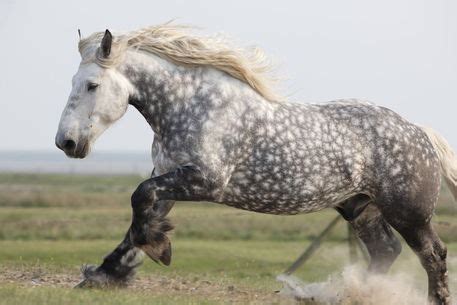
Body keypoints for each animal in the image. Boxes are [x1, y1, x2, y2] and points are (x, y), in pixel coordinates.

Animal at [55, 22, 454, 302]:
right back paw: (351, 294)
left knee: (432, 254)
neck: (193, 107)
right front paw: (107, 274)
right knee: (386, 251)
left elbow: (139, 198)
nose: (66, 142)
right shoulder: (168, 177)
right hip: (359, 206)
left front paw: (156, 251)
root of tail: (419, 132)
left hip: (408, 212)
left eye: (92, 85)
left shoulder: (205, 180)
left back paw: (430, 298)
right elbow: (139, 215)